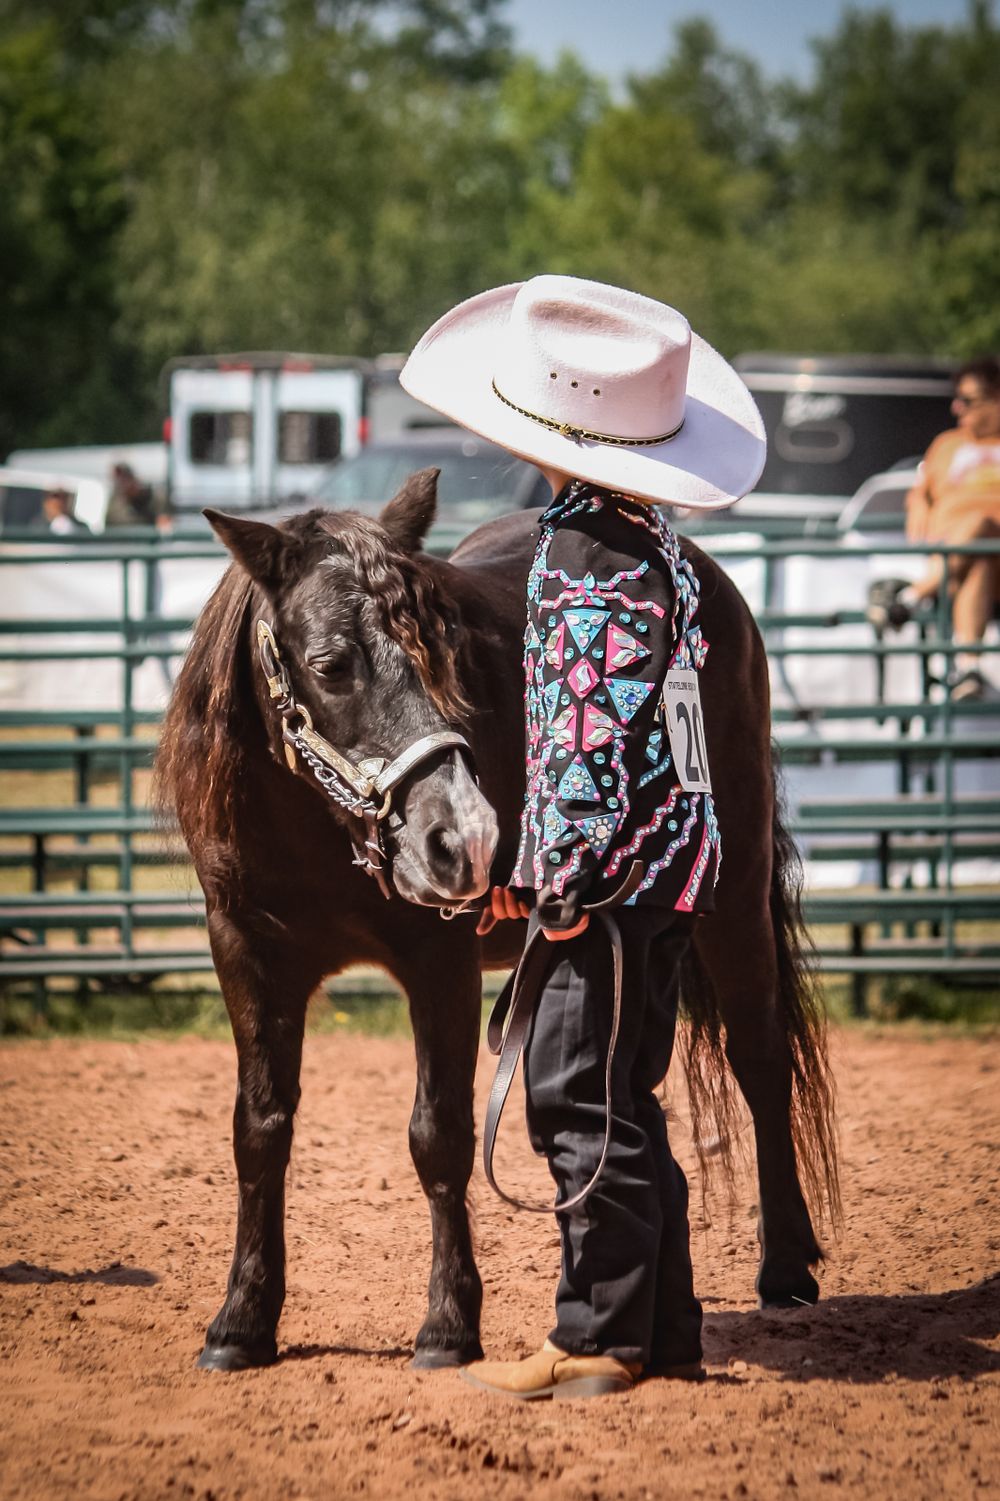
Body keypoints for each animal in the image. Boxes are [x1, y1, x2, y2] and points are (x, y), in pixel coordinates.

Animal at [155, 468, 838, 1372]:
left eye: (437, 650)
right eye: (330, 664)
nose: (467, 837)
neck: (315, 830)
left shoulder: (437, 957)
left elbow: (438, 1134)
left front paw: (449, 1325)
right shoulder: (247, 954)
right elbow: (259, 1130)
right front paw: (241, 1319)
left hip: (736, 898)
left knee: (760, 1061)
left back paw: (786, 1268)